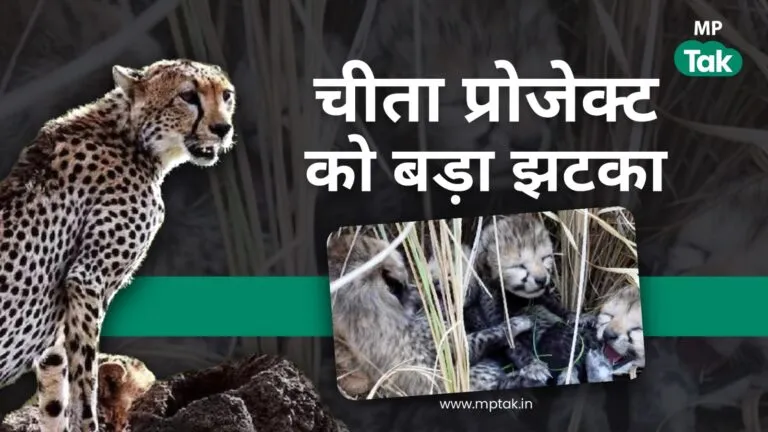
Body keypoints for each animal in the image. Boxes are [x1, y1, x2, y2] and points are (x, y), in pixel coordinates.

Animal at [0, 58, 236, 432]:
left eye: (226, 95)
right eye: (188, 96)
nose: (222, 128)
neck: (131, 136)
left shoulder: (57, 326)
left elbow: (55, 396)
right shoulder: (87, 280)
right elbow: (85, 384)